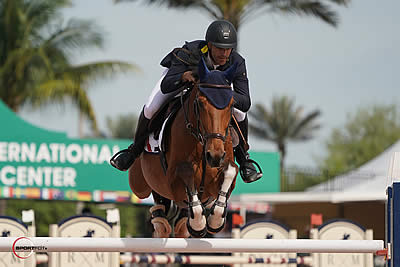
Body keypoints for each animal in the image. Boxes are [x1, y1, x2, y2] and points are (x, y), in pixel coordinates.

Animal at [130, 58, 239, 239]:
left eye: (231, 105)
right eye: (200, 103)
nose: (214, 156)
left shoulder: (219, 180)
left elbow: (230, 170)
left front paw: (214, 221)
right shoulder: (173, 182)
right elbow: (186, 171)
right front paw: (198, 224)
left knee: (179, 223)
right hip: (138, 185)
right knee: (157, 206)